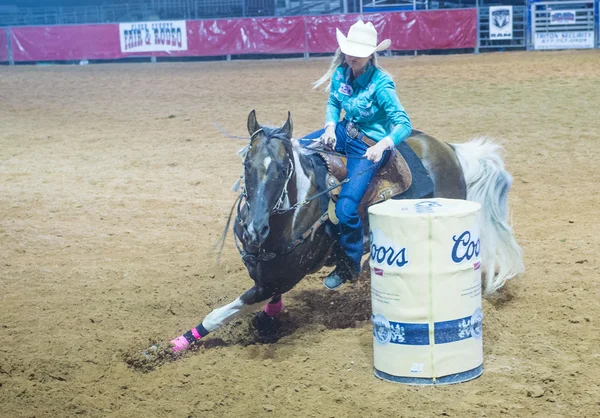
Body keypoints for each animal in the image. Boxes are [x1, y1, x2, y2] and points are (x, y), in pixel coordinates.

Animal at [163, 110, 520, 352]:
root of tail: (448, 148)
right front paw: (268, 319)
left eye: (283, 168)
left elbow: (218, 314)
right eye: (246, 164)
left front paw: (172, 346)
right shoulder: (271, 274)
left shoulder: (282, 278)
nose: (254, 229)